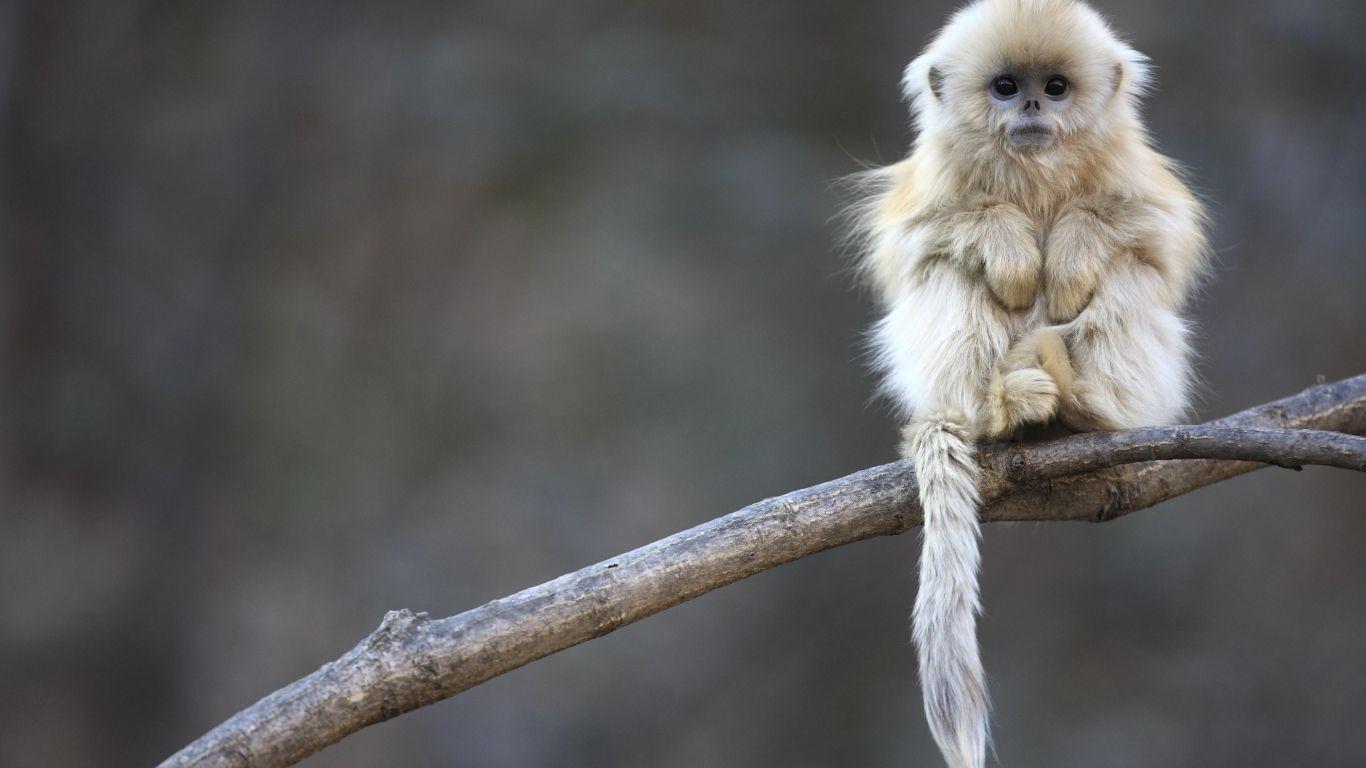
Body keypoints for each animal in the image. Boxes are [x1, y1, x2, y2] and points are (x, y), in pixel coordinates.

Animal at [851, 1, 1209, 766]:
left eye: (1057, 87)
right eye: (1006, 87)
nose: (1035, 108)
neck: (1035, 169)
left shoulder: (1136, 175)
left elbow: (1155, 234)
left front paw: (1069, 253)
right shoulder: (931, 187)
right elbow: (919, 242)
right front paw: (1012, 249)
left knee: (1128, 273)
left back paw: (1084, 405)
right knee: (949, 271)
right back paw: (1004, 409)